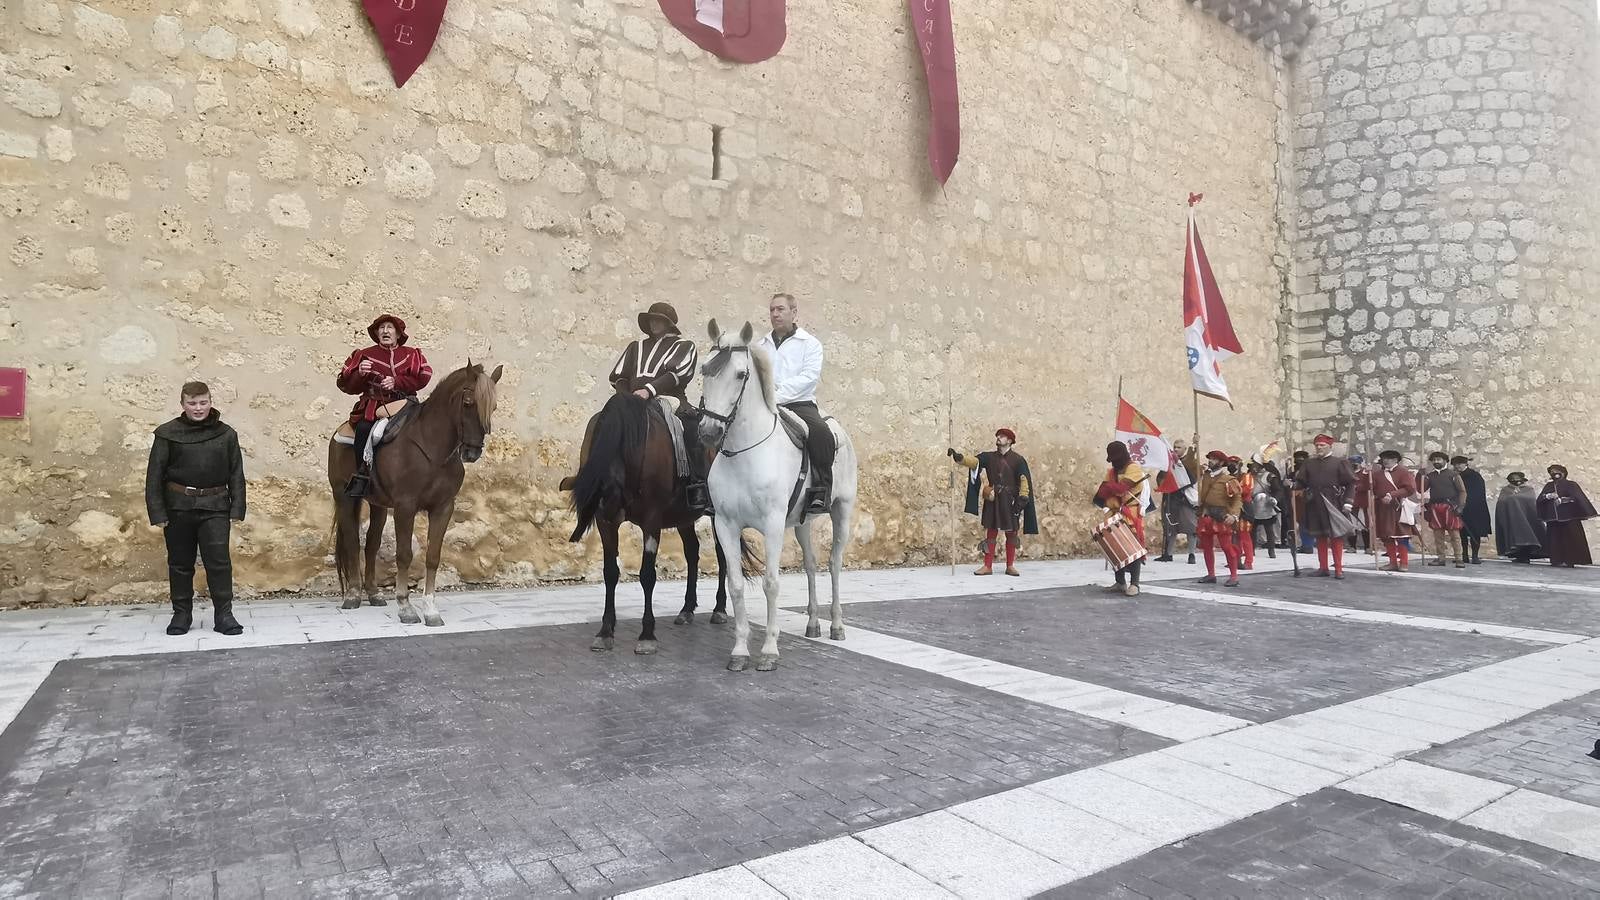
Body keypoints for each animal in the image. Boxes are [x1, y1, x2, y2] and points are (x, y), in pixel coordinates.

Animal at [324, 357, 499, 624]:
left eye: (494, 407)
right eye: (468, 402)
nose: (472, 452)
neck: (432, 447)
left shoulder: (443, 507)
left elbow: (433, 556)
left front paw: (430, 609)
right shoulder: (405, 507)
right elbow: (404, 554)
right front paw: (405, 606)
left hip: (378, 505)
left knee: (372, 544)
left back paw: (373, 593)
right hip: (343, 497)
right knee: (353, 542)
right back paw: (353, 595)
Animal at [569, 392, 742, 650]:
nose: (608, 506)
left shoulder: (651, 521)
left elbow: (647, 575)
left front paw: (647, 634)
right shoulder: (606, 524)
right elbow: (610, 572)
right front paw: (606, 630)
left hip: (718, 515)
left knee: (722, 555)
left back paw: (719, 609)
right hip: (683, 517)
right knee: (692, 551)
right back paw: (687, 609)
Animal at [694, 318, 857, 669]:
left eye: (740, 374)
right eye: (704, 369)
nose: (710, 432)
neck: (744, 453)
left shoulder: (771, 525)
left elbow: (770, 583)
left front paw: (769, 649)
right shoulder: (725, 525)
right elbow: (736, 586)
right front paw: (740, 651)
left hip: (842, 512)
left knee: (834, 563)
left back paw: (836, 625)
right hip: (802, 523)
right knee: (811, 564)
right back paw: (813, 623)